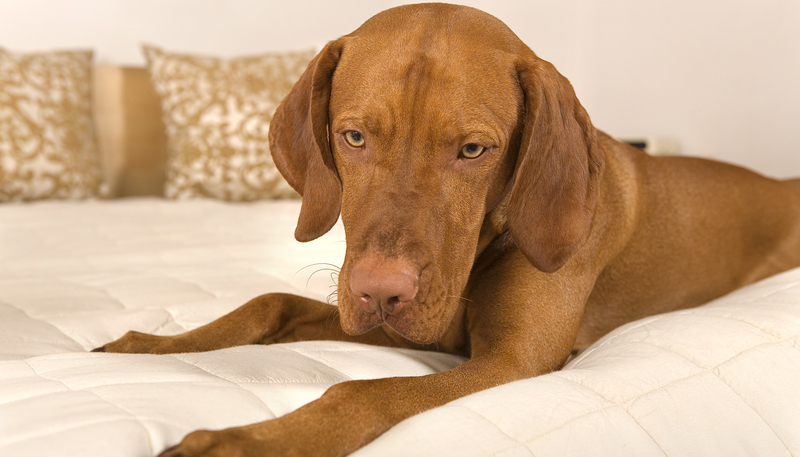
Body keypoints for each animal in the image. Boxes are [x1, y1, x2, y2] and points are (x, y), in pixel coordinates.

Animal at [94, 4, 800, 456]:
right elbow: (268, 303)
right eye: (354, 136)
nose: (383, 290)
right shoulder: (394, 321)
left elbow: (357, 393)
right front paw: (150, 346)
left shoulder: (512, 362)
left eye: (472, 150)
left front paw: (242, 441)